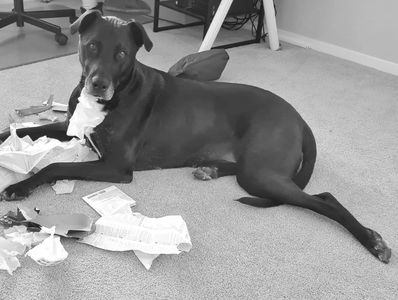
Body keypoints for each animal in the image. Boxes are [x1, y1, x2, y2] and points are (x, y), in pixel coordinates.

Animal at [0, 11, 392, 262]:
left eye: (123, 53)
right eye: (92, 46)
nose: (99, 84)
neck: (115, 94)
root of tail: (299, 118)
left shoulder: (115, 167)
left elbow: (54, 168)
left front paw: (19, 186)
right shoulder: (70, 127)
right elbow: (23, 130)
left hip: (261, 174)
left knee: (324, 199)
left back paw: (372, 241)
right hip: (253, 169)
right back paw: (209, 169)